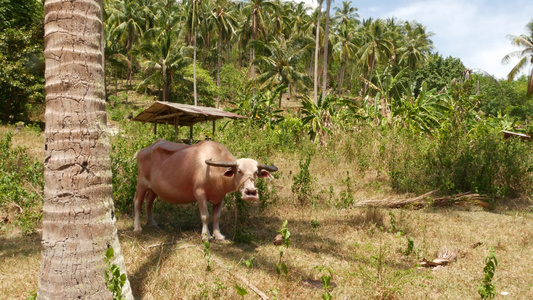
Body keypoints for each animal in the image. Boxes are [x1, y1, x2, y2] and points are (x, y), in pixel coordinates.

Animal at [132, 139, 278, 240]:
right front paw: (206, 235)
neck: (215, 172)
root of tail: (143, 151)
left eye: (255, 173)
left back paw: (152, 223)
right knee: (138, 202)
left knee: (149, 202)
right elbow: (205, 216)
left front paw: (218, 235)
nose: (251, 193)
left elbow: (217, 216)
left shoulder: (220, 197)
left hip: (153, 188)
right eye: (239, 171)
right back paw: (137, 227)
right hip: (141, 183)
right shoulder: (200, 194)